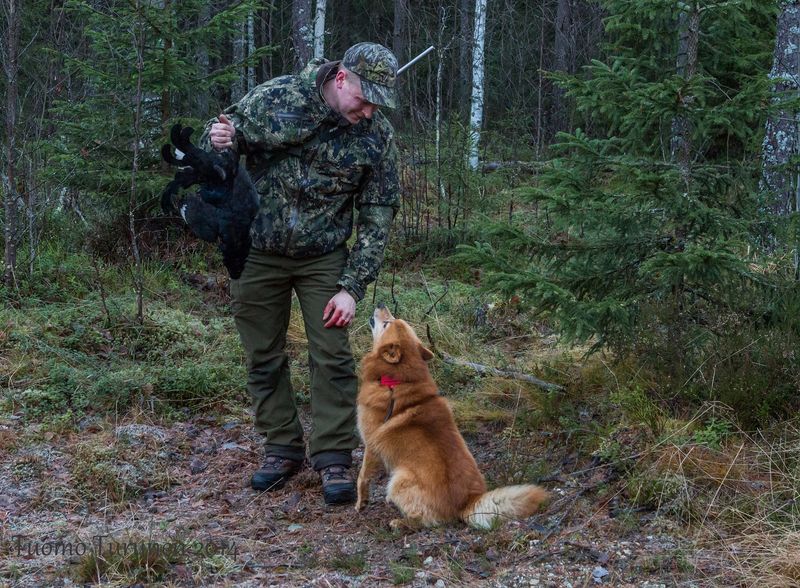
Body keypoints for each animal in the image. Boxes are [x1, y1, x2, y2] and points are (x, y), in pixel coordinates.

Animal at [356, 306, 552, 532]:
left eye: (387, 323)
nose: (380, 303)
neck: (396, 381)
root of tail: (466, 502)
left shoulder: (371, 444)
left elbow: (362, 476)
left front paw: (360, 502)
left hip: (399, 479)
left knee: (425, 519)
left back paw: (401, 522)